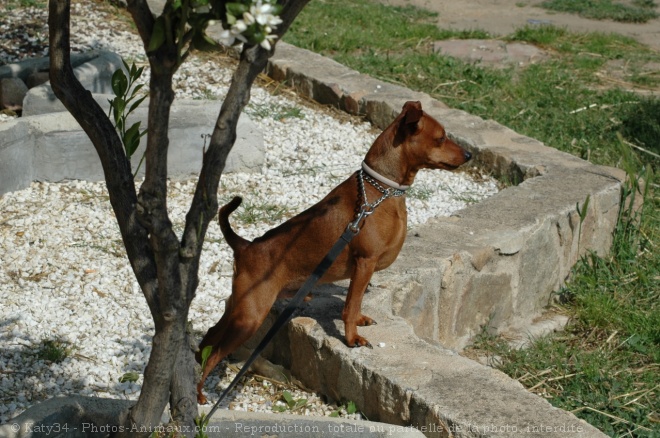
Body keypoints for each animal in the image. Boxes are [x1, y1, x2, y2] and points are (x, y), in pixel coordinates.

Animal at [196, 100, 470, 404]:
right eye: (441, 138)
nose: (469, 154)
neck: (381, 191)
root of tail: (245, 246)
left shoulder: (362, 271)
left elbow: (356, 301)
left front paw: (360, 320)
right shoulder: (365, 262)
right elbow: (350, 306)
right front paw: (351, 338)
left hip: (238, 309)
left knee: (209, 338)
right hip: (250, 318)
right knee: (215, 353)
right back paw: (200, 396)